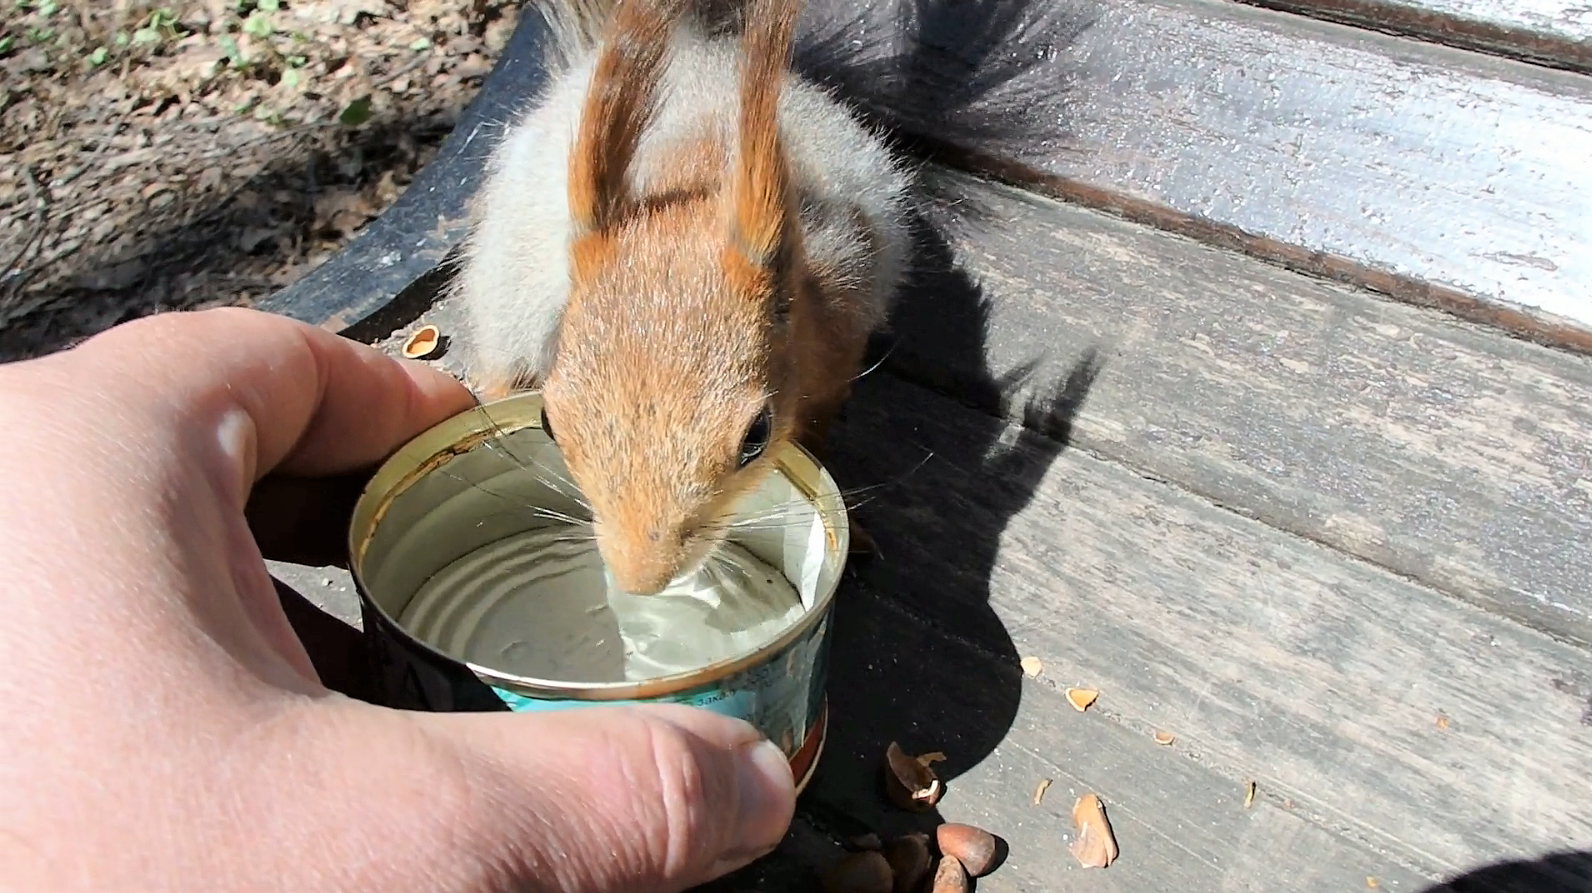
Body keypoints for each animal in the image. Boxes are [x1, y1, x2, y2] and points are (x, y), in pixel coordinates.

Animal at [450, 0, 1071, 595]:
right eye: (549, 421)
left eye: (757, 437)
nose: (641, 582)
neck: (693, 178)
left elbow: (816, 433)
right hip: (506, 297)